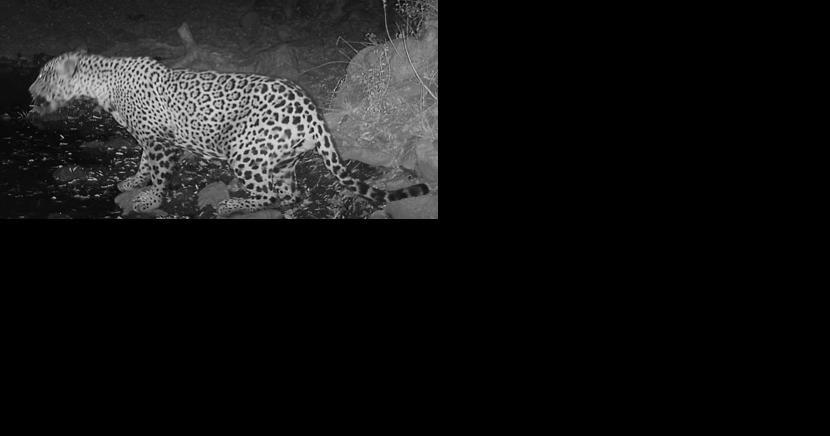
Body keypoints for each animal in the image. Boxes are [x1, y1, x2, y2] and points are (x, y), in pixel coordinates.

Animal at [28, 50, 429, 217]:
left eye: (45, 76)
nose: (30, 91)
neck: (101, 84)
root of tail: (312, 111)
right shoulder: (150, 139)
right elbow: (143, 164)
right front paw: (133, 182)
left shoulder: (160, 141)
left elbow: (158, 172)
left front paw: (150, 199)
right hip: (280, 159)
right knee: (288, 194)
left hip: (244, 151)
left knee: (269, 193)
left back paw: (231, 204)